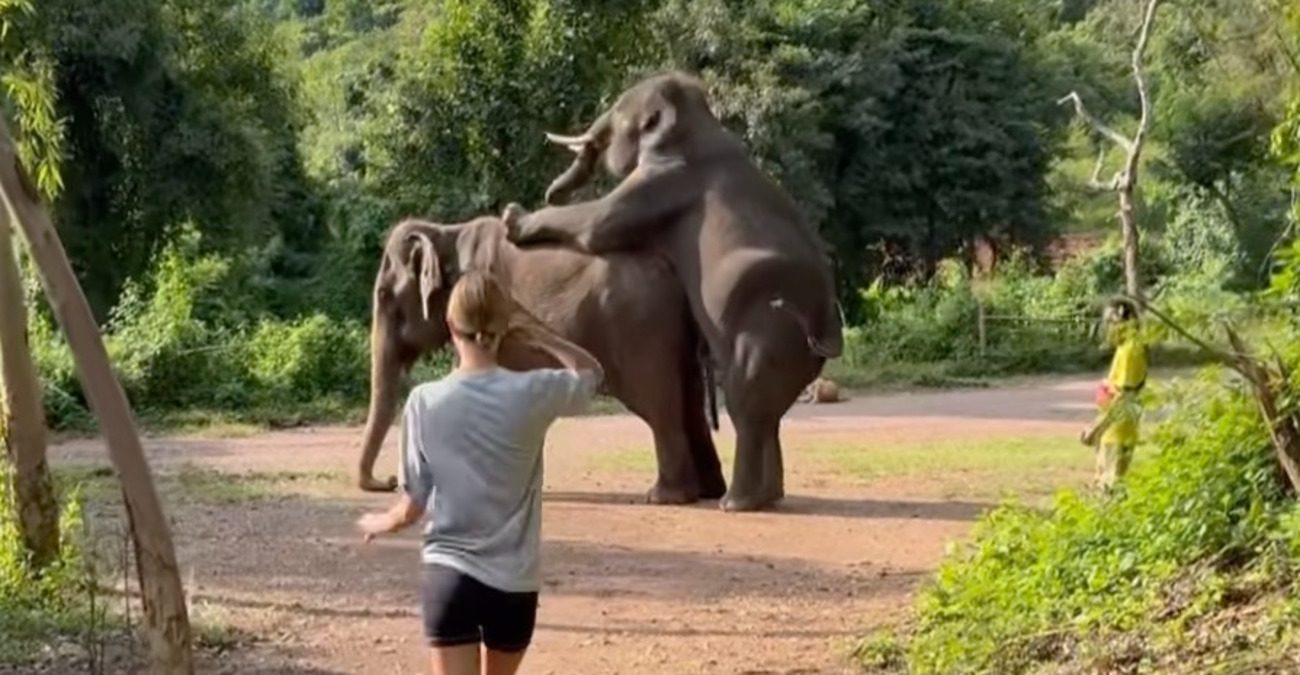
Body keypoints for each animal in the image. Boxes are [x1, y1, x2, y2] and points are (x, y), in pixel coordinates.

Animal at [353, 214, 733, 504]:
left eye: (384, 294)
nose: (388, 482)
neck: (445, 230)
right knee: (689, 401)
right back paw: (707, 492)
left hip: (644, 331)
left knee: (658, 403)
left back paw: (665, 496)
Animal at [496, 69, 842, 512]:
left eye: (619, 115)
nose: (549, 191)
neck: (698, 121)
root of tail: (825, 333)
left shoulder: (663, 180)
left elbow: (598, 225)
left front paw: (512, 220)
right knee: (768, 415)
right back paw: (766, 497)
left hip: (768, 330)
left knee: (745, 403)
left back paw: (736, 503)